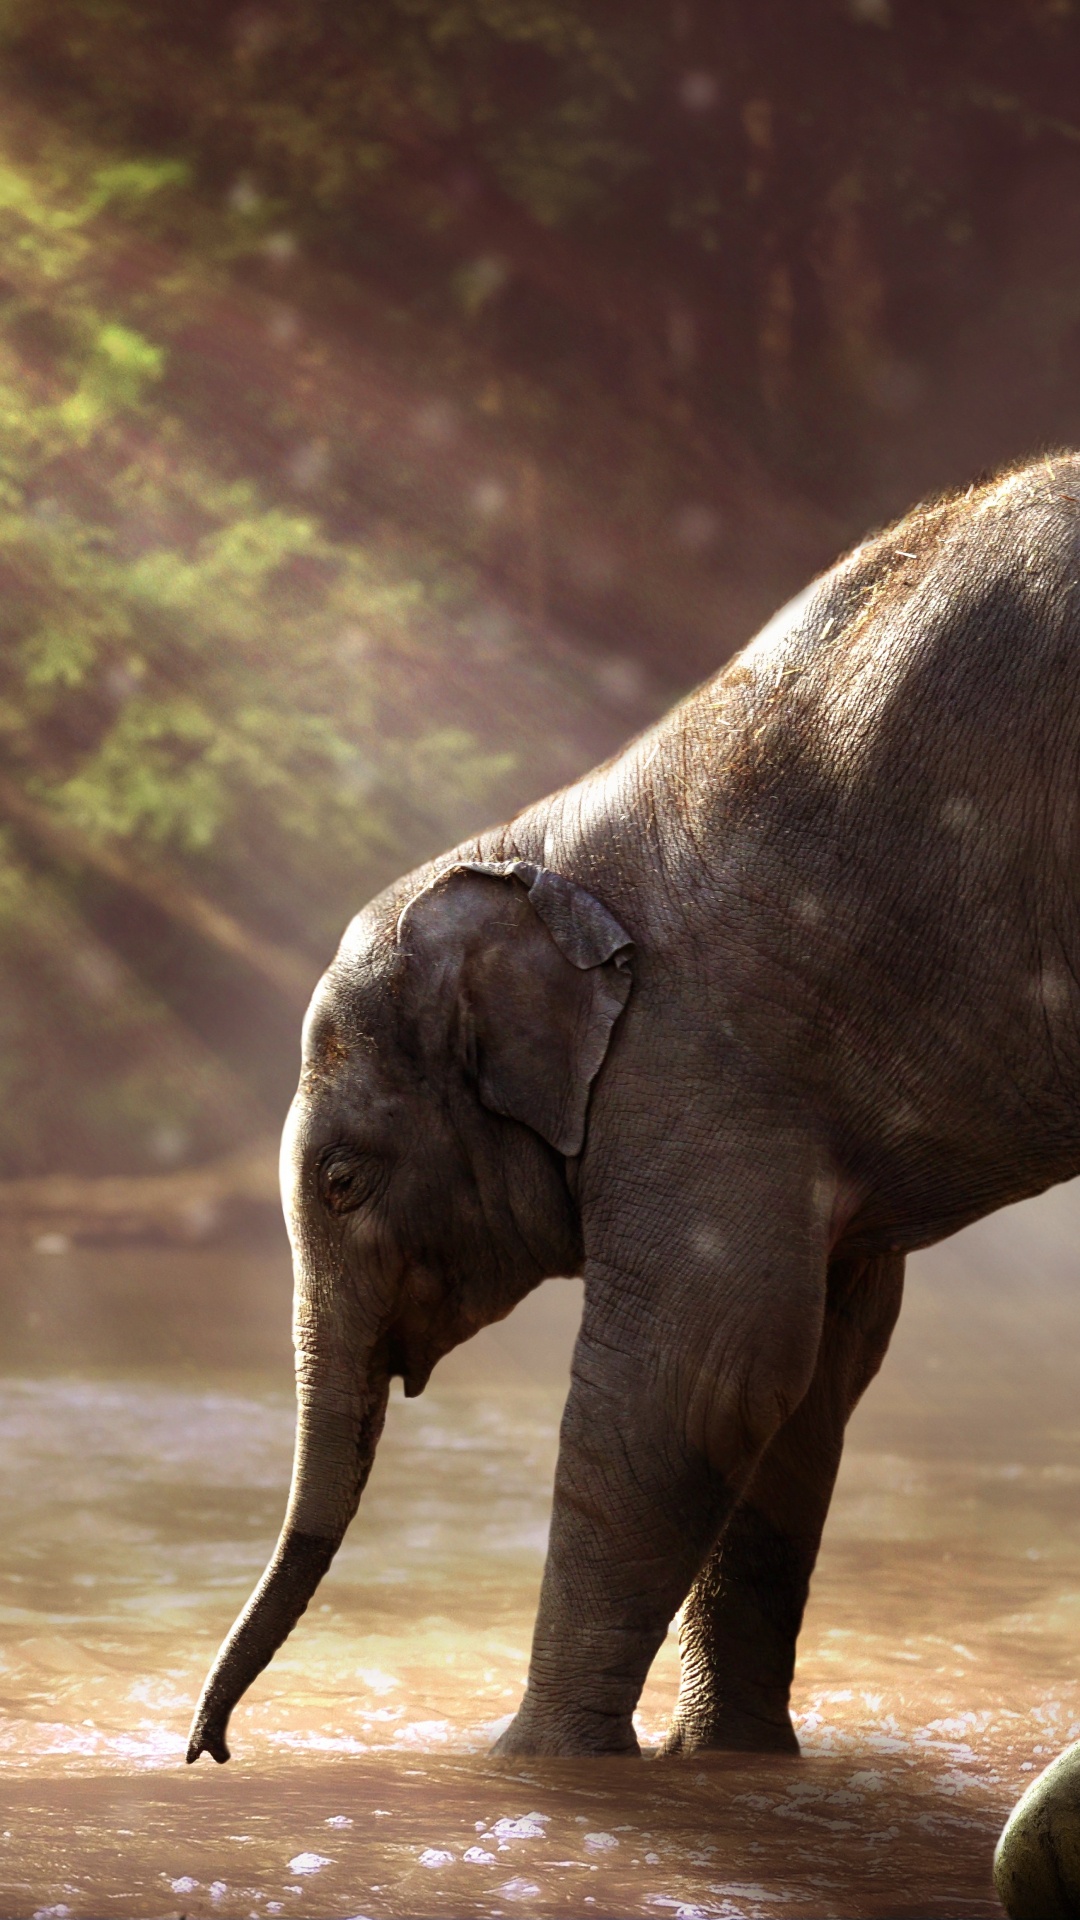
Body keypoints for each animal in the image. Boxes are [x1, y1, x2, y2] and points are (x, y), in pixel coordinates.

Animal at [188, 451, 1080, 1764]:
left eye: (343, 1182)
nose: (208, 1747)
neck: (536, 848)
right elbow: (809, 1378)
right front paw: (725, 1763)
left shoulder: (703, 1064)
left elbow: (701, 1370)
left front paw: (533, 1765)